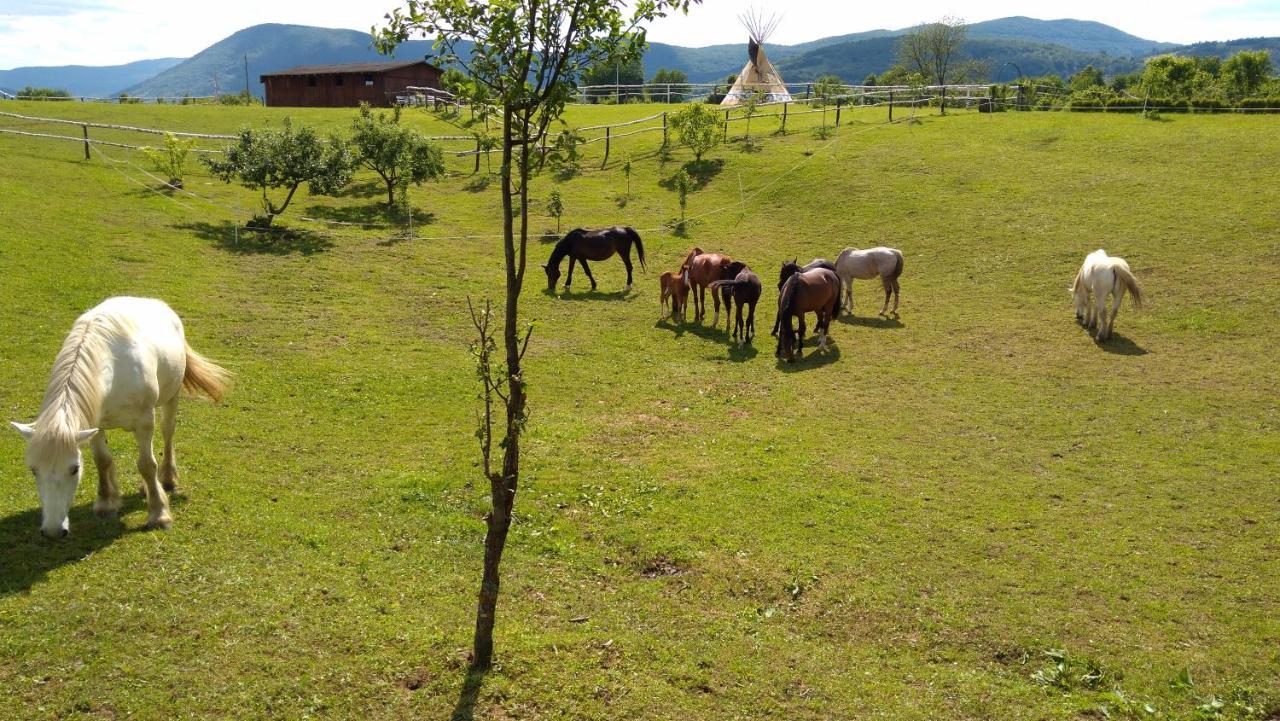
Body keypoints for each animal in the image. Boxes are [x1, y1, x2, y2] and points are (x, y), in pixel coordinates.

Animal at [8, 295, 229, 537]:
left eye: (74, 468)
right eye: (33, 470)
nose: (53, 531)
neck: (112, 369)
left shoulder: (144, 421)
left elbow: (146, 464)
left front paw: (159, 514)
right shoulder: (94, 425)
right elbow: (103, 461)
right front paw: (106, 503)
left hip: (171, 398)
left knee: (167, 433)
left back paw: (167, 479)